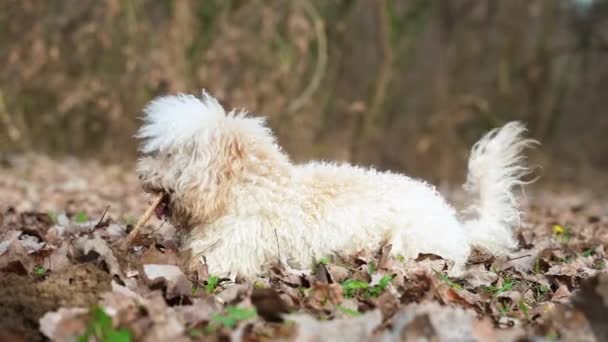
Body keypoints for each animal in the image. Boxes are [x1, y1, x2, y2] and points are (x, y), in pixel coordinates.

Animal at [135, 92, 536, 280]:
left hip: (408, 248)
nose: (141, 176)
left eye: (168, 155)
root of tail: (454, 224)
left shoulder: (227, 257)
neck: (246, 188)